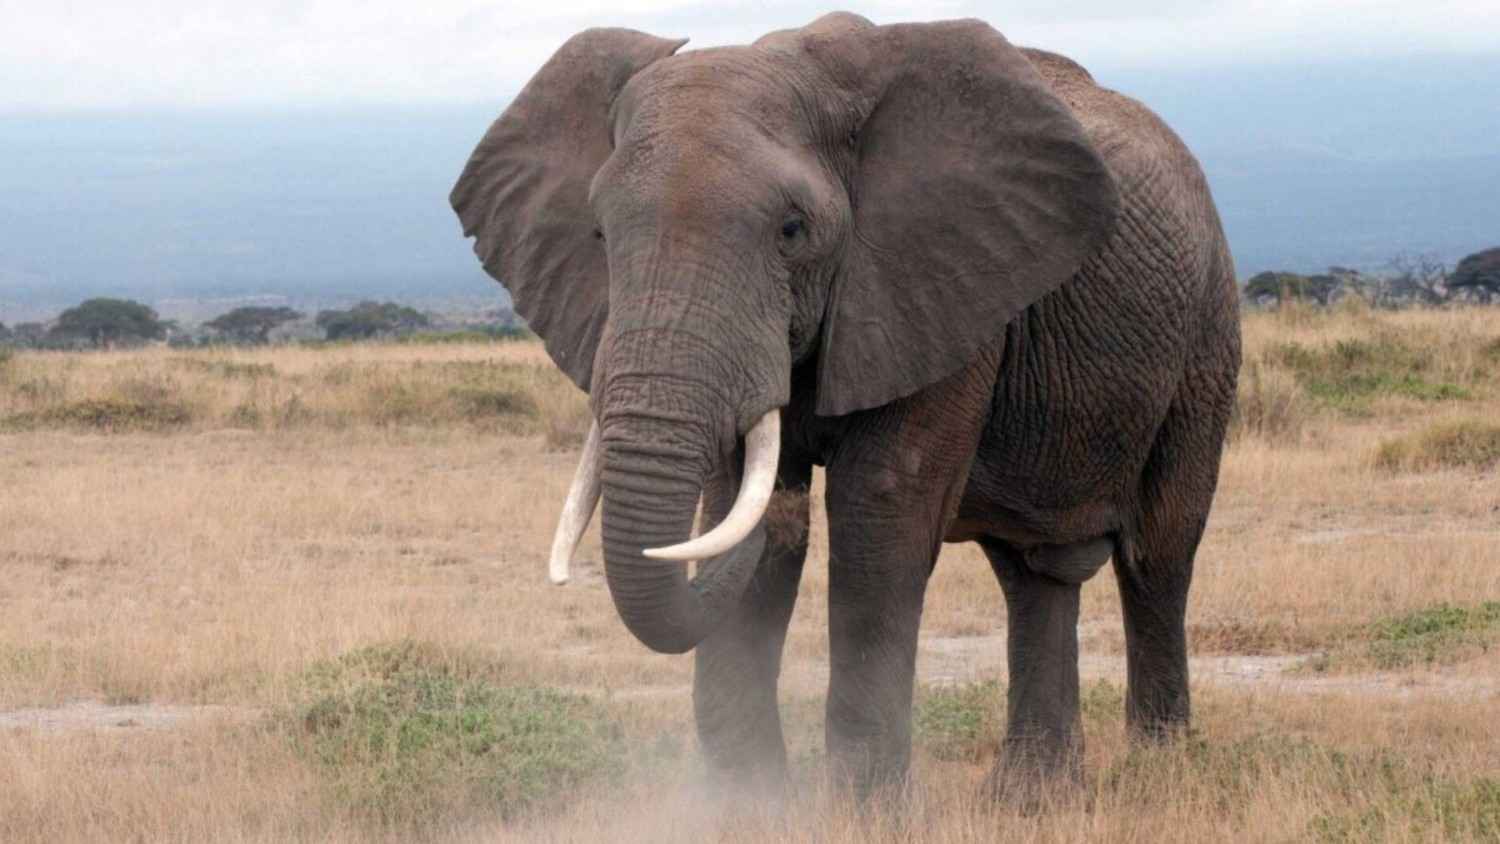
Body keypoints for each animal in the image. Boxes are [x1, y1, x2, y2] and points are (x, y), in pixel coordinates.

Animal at [451, 12, 1241, 797]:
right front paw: (753, 808)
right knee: (1030, 572)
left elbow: (880, 508)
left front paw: (863, 810)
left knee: (1158, 554)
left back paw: (1159, 770)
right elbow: (743, 506)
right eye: (599, 233)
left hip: (1207, 327)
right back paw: (1030, 800)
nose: (785, 507)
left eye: (792, 230)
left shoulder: (937, 279)